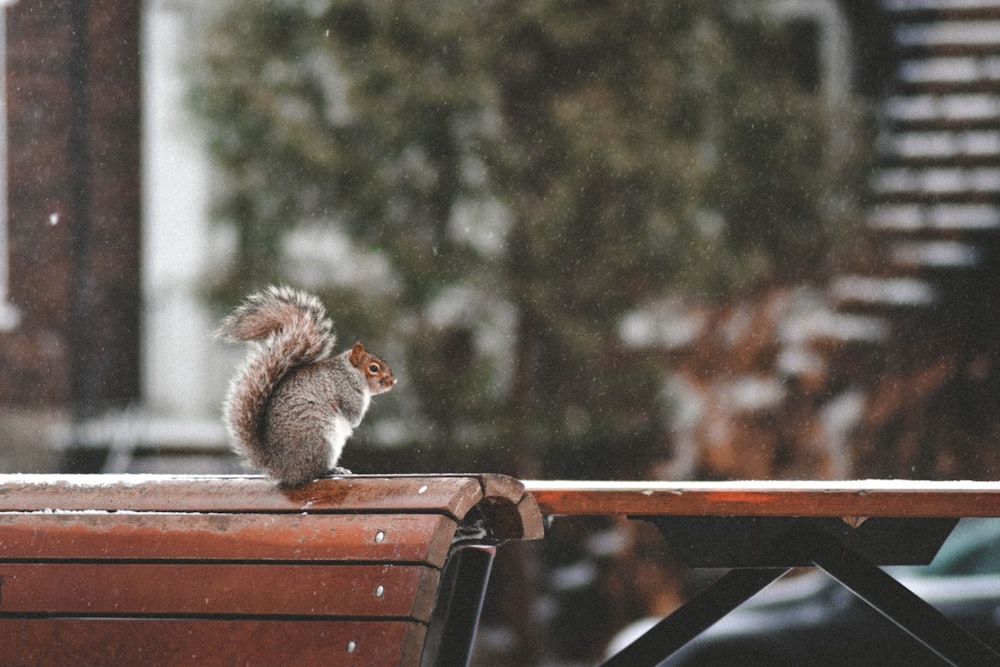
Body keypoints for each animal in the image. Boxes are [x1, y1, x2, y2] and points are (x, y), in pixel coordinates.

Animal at [217, 284, 396, 488]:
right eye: (373, 368)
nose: (393, 381)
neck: (350, 372)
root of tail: (279, 467)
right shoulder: (345, 390)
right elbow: (353, 416)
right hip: (319, 440)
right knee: (312, 472)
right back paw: (332, 470)